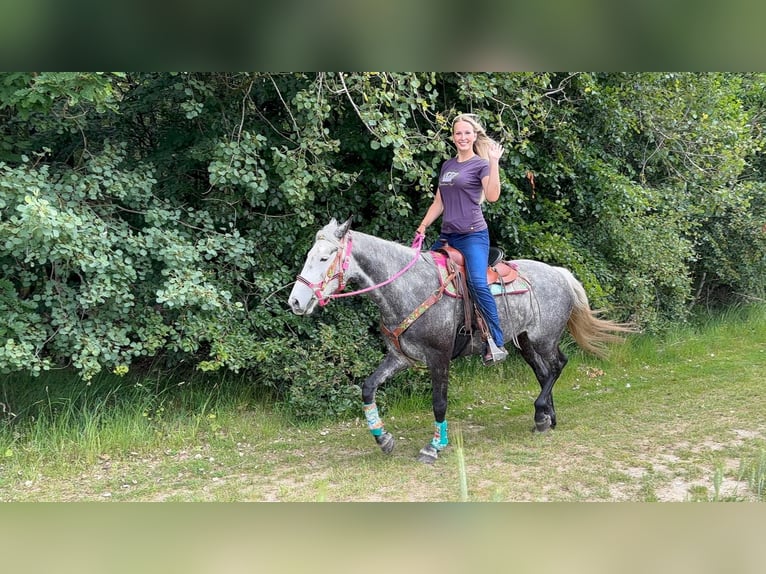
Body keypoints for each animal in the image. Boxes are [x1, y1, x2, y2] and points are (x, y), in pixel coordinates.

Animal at [288, 218, 633, 463]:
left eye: (324, 258)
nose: (295, 301)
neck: (409, 285)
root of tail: (560, 274)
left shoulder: (438, 357)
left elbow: (439, 402)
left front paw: (434, 446)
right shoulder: (400, 357)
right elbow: (368, 388)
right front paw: (383, 439)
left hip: (544, 338)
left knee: (558, 365)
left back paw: (540, 413)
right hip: (524, 342)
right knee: (544, 372)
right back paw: (547, 417)